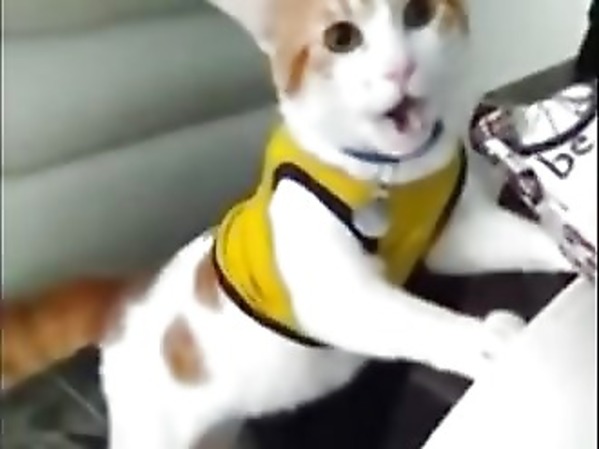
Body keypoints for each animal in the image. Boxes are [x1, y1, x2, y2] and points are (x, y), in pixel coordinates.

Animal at [1, 0, 571, 448]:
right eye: (342, 39)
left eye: (419, 13)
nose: (401, 68)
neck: (393, 174)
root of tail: (128, 293)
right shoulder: (333, 292)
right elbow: (418, 320)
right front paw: (488, 341)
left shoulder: (456, 240)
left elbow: (528, 239)